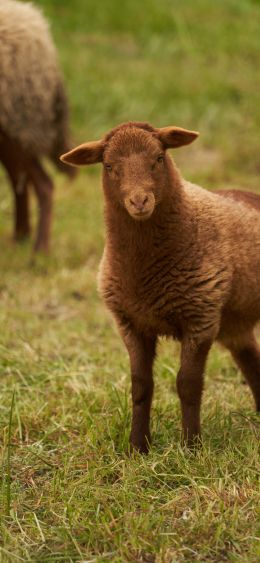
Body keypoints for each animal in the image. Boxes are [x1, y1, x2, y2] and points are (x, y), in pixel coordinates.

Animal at [61, 122, 260, 454]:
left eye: (158, 157)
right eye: (109, 166)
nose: (139, 202)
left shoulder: (200, 318)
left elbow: (188, 385)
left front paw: (191, 447)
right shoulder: (130, 323)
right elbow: (141, 385)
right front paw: (137, 447)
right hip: (236, 323)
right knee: (251, 361)